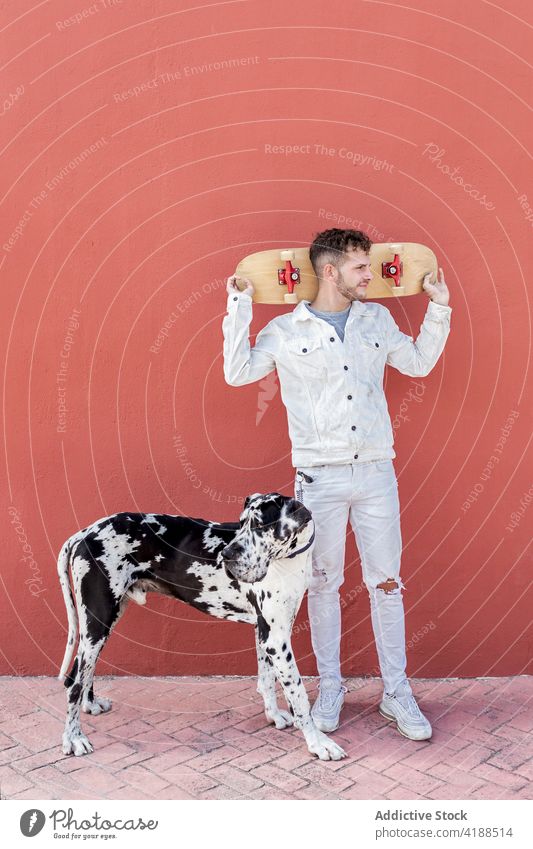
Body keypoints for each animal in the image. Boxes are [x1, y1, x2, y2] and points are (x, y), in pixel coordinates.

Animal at [57, 490, 344, 760]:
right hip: (98, 622)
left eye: (260, 525)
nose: (226, 554)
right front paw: (318, 743)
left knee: (81, 673)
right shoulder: (276, 639)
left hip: (101, 623)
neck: (288, 561)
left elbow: (266, 679)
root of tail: (85, 532)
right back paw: (74, 739)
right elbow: (298, 694)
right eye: (242, 522)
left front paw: (273, 715)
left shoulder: (265, 632)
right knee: (73, 684)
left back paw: (90, 705)